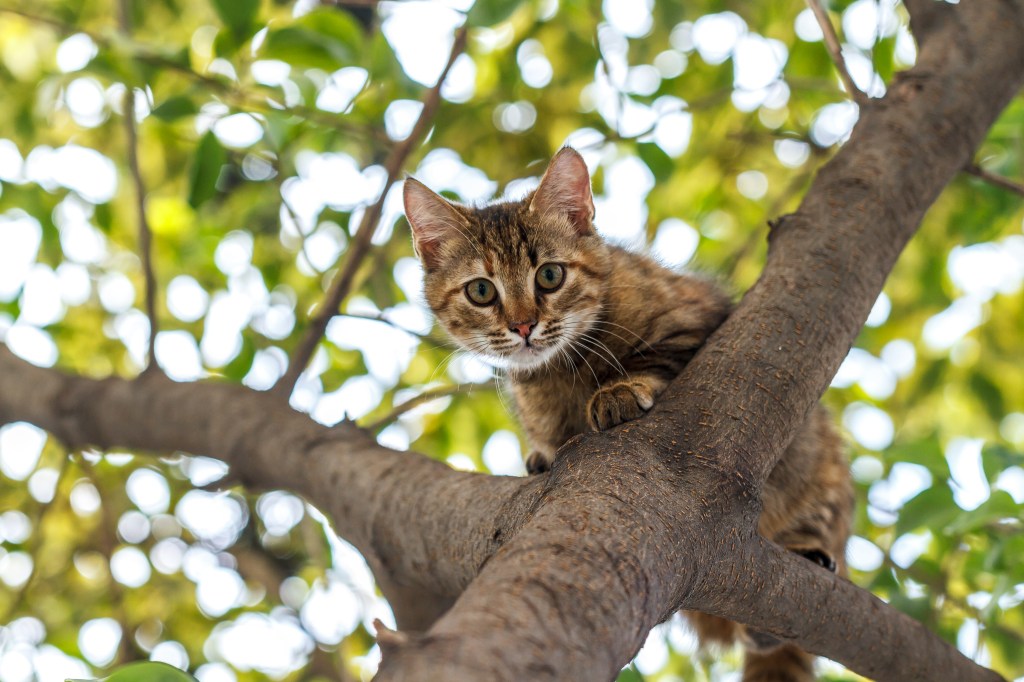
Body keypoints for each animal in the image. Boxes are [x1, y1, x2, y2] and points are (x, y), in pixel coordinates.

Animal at [403, 146, 851, 675]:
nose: (524, 325)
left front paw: (619, 389)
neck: (561, 372)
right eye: (481, 291)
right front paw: (542, 453)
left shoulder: (694, 318)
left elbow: (658, 358)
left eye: (550, 275)